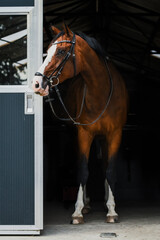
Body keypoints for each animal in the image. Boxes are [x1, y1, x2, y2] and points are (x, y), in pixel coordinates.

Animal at [32, 25, 127, 224]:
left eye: (61, 51)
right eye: (48, 50)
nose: (36, 83)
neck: (101, 91)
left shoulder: (115, 134)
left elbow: (111, 170)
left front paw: (112, 210)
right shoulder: (84, 134)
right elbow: (83, 170)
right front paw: (77, 211)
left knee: (105, 165)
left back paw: (106, 201)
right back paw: (87, 204)